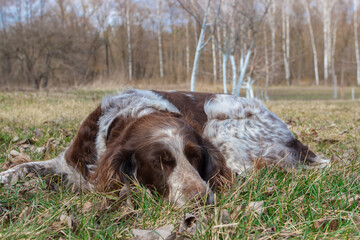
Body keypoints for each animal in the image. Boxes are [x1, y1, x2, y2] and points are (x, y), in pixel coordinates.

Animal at [0, 89, 328, 205]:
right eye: (159, 161)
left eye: (196, 158)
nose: (201, 200)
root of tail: (300, 143)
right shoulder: (70, 164)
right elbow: (25, 167)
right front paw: (7, 176)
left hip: (219, 117)